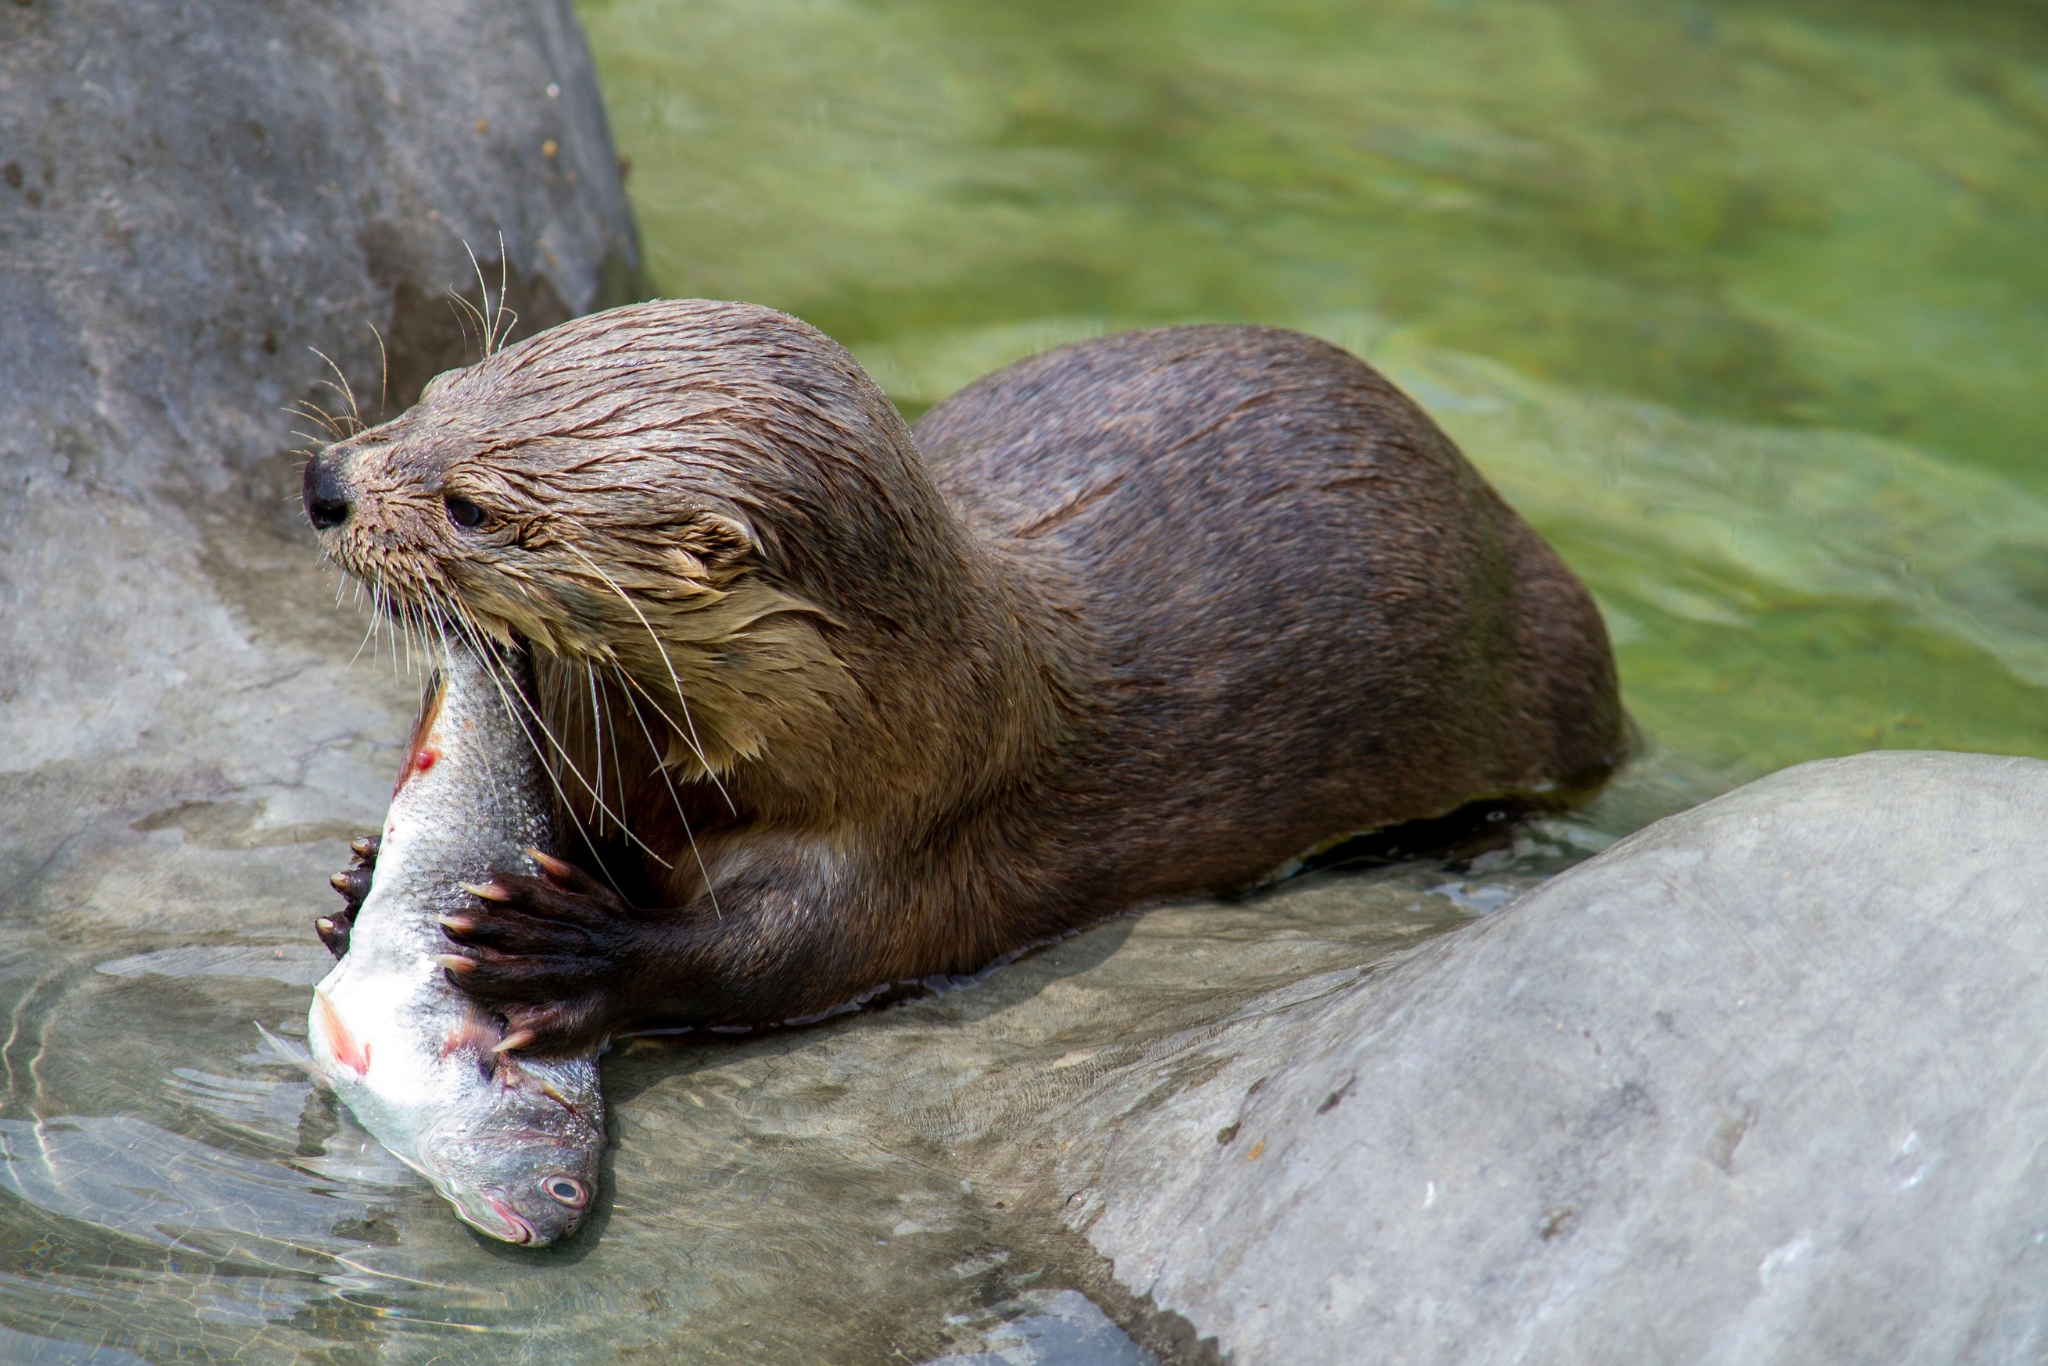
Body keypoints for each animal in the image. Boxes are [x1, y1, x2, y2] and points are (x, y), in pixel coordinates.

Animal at [303, 299, 1623, 1054]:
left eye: (472, 507)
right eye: (432, 394)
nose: (324, 482)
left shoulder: (909, 840)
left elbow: (774, 962)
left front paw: (568, 948)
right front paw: (361, 880)